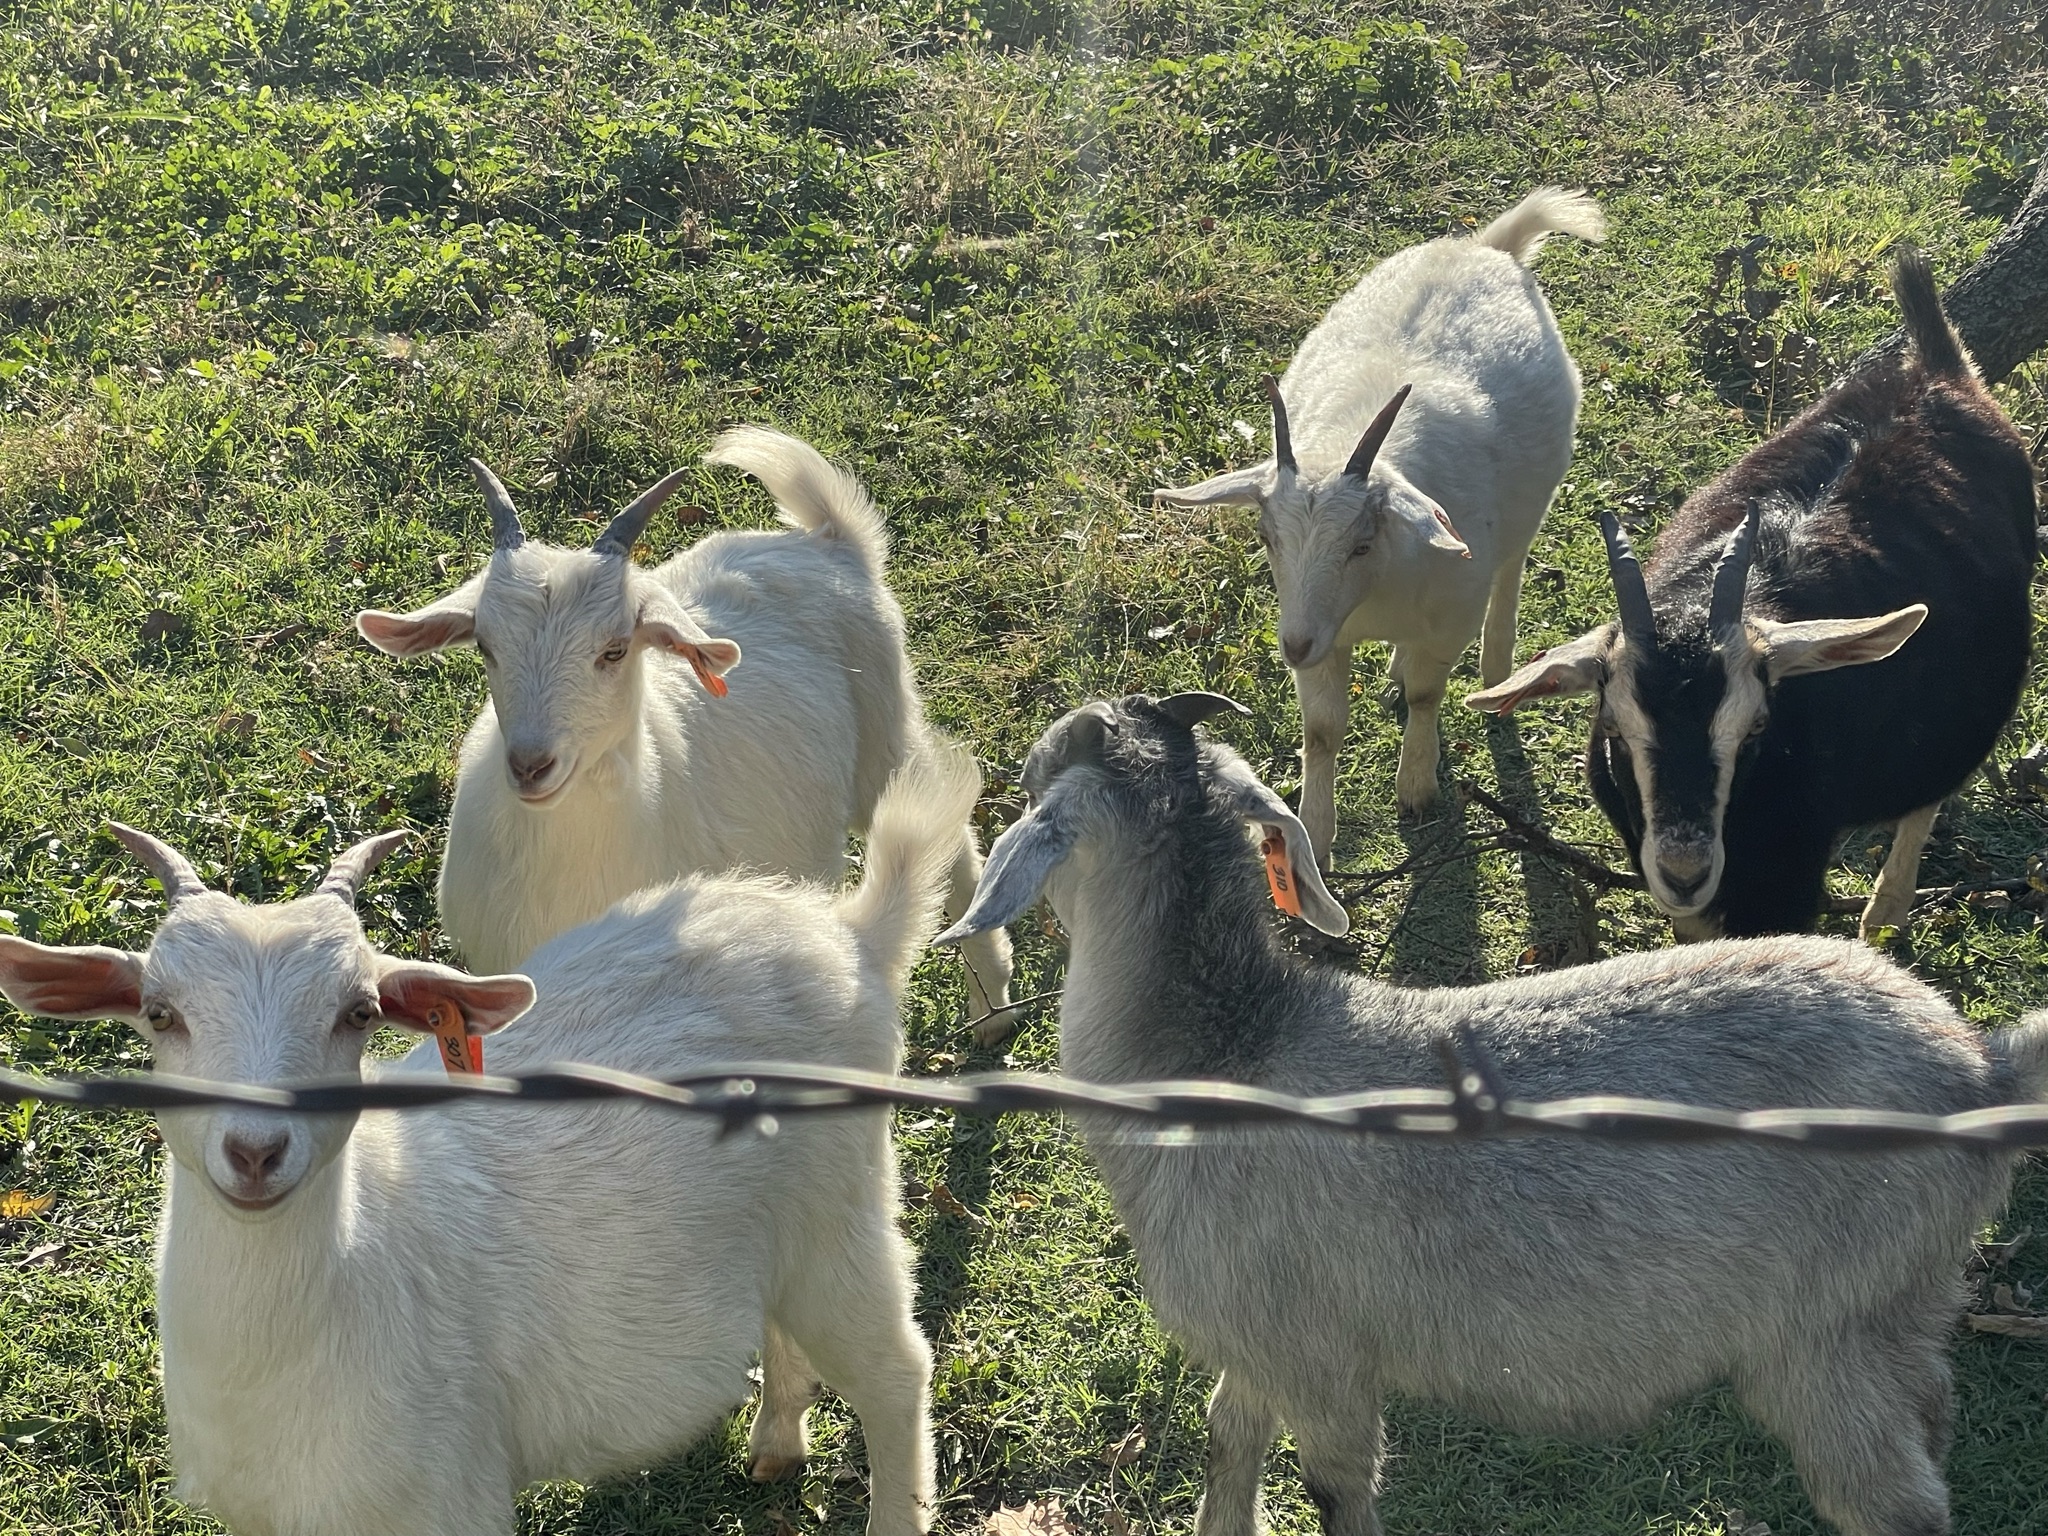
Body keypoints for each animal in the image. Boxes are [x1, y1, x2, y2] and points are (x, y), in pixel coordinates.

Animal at [0, 745, 985, 1536]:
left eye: (359, 1013)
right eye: (159, 1013)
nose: (256, 1151)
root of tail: (852, 937)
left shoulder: (448, 1495)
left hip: (843, 1203)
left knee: (897, 1369)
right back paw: (777, 1442)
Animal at [355, 426, 1013, 1015]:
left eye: (616, 649)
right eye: (487, 647)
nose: (531, 765)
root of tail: (830, 540)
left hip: (885, 732)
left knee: (948, 840)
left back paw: (993, 1003)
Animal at [938, 691, 2048, 1536]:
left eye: (1033, 785)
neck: (1222, 1054)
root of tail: (1981, 1069)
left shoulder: (1320, 1363)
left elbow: (1336, 1495)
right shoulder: (1257, 1341)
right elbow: (1225, 1441)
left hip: (1825, 1331)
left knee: (1895, 1504)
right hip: (1903, 1301)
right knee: (1932, 1419)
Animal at [1154, 187, 1606, 858]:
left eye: (1361, 545)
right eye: (1266, 539)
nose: (1293, 646)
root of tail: (1487, 247)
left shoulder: (1449, 616)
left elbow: (1426, 694)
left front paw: (1416, 786)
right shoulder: (1325, 635)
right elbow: (1321, 729)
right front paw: (1315, 833)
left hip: (1533, 501)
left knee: (1512, 566)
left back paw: (1497, 665)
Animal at [1468, 249, 2039, 941]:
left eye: (1755, 727)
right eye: (1613, 727)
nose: (1685, 871)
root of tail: (1939, 369)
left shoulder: (1787, 876)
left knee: (1928, 790)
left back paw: (1884, 916)